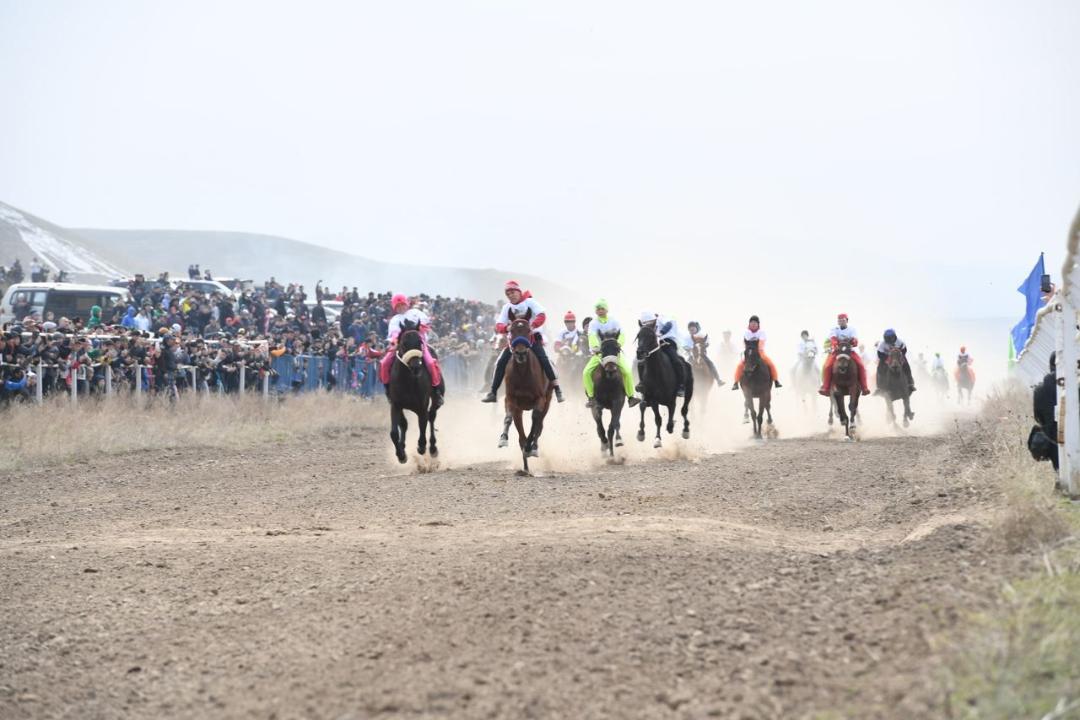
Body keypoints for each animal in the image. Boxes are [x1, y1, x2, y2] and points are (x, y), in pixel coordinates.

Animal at [388, 319, 438, 462]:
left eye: (420, 342)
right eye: (404, 343)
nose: (416, 367)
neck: (408, 381)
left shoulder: (422, 406)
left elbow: (423, 426)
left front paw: (421, 447)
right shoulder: (395, 405)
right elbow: (394, 432)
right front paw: (401, 455)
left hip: (435, 398)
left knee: (432, 416)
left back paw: (433, 448)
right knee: (404, 424)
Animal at [505, 308, 557, 472]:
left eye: (528, 330)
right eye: (511, 330)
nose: (520, 353)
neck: (523, 374)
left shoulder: (540, 399)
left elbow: (535, 419)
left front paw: (529, 447)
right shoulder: (513, 401)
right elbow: (516, 427)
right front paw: (525, 463)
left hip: (548, 399)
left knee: (540, 424)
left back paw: (533, 447)